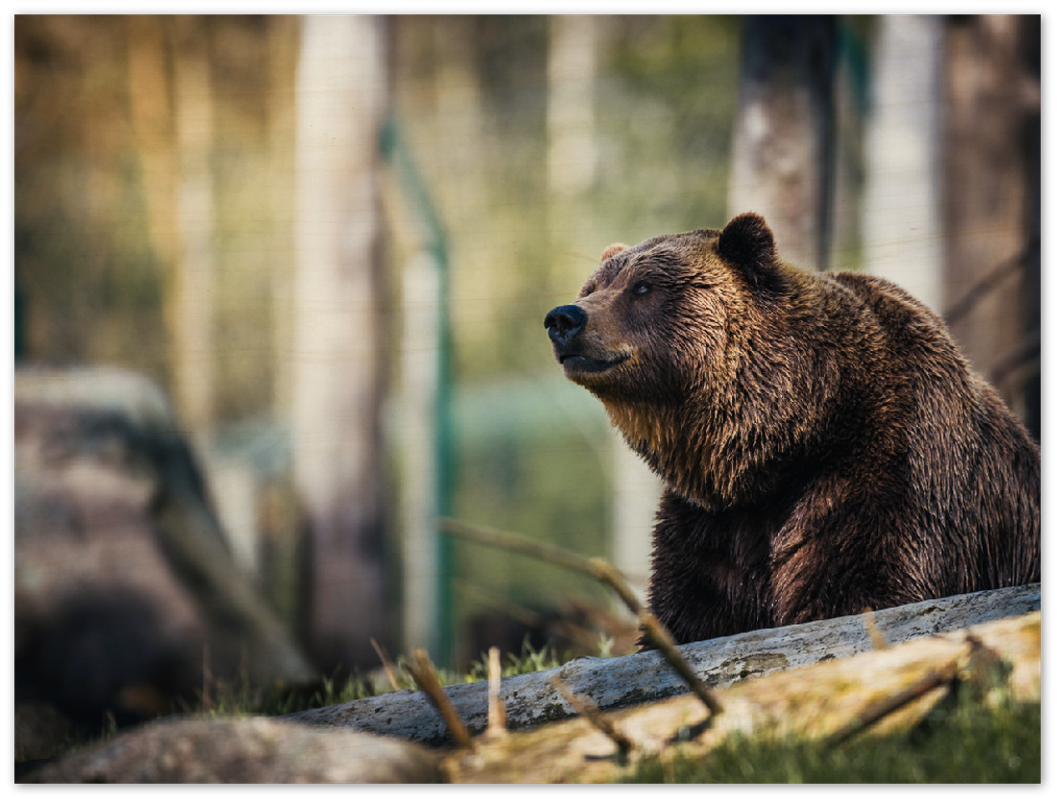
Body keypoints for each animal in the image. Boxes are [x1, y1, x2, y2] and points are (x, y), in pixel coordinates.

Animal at [544, 212, 1041, 645]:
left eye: (643, 286)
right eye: (593, 286)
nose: (564, 318)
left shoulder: (887, 469)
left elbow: (860, 587)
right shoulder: (712, 522)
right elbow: (690, 610)